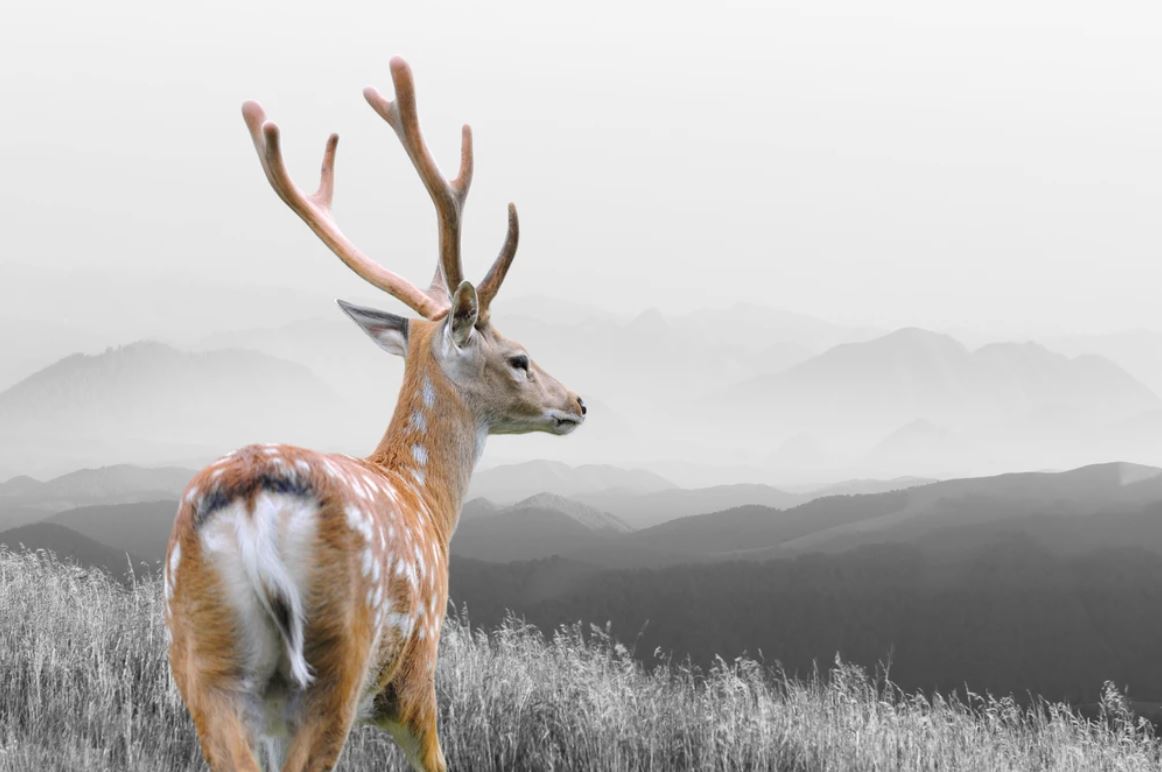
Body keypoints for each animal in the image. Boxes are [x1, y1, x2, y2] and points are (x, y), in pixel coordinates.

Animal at [163, 57, 586, 772]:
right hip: (337, 662)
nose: (578, 402)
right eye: (520, 358)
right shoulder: (416, 677)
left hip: (202, 662)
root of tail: (251, 503)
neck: (426, 502)